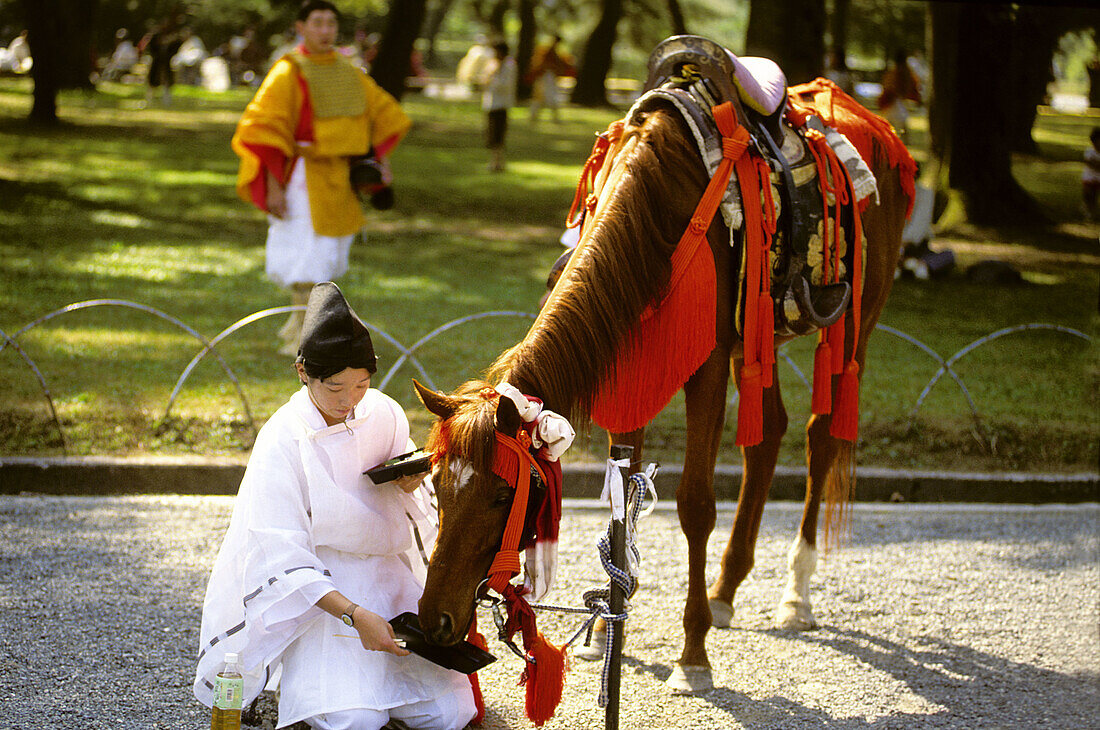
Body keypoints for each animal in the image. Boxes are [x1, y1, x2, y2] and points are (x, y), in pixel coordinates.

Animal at [411, 39, 910, 694]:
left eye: (502, 495)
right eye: (438, 486)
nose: (434, 619)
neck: (655, 206)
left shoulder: (709, 362)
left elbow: (694, 504)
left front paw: (692, 653)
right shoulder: (630, 357)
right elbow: (621, 508)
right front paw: (607, 628)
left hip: (856, 320)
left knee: (820, 435)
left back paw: (794, 595)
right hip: (760, 337)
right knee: (768, 435)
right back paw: (726, 590)